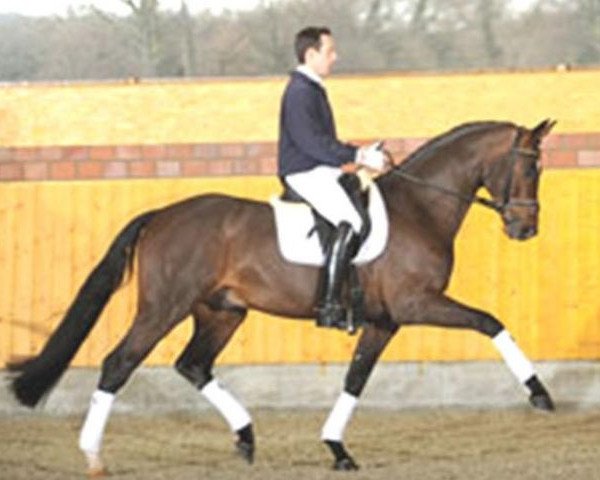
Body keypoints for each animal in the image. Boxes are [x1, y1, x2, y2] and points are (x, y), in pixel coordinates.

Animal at [5, 119, 556, 472]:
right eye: (531, 169)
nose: (526, 229)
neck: (419, 207)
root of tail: (162, 215)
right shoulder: (415, 304)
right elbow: (491, 322)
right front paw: (539, 393)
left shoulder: (385, 321)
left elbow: (356, 380)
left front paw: (337, 449)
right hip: (164, 308)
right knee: (119, 363)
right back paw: (93, 455)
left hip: (222, 312)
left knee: (193, 365)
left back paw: (246, 436)